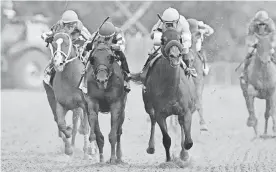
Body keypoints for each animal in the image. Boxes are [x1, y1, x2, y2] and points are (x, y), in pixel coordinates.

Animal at [130, 27, 195, 162]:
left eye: (180, 38)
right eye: (163, 39)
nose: (175, 56)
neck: (172, 89)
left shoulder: (186, 111)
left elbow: (188, 141)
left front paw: (184, 154)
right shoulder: (160, 113)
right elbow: (166, 139)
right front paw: (168, 160)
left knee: (181, 125)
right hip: (148, 106)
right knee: (152, 119)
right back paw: (151, 147)